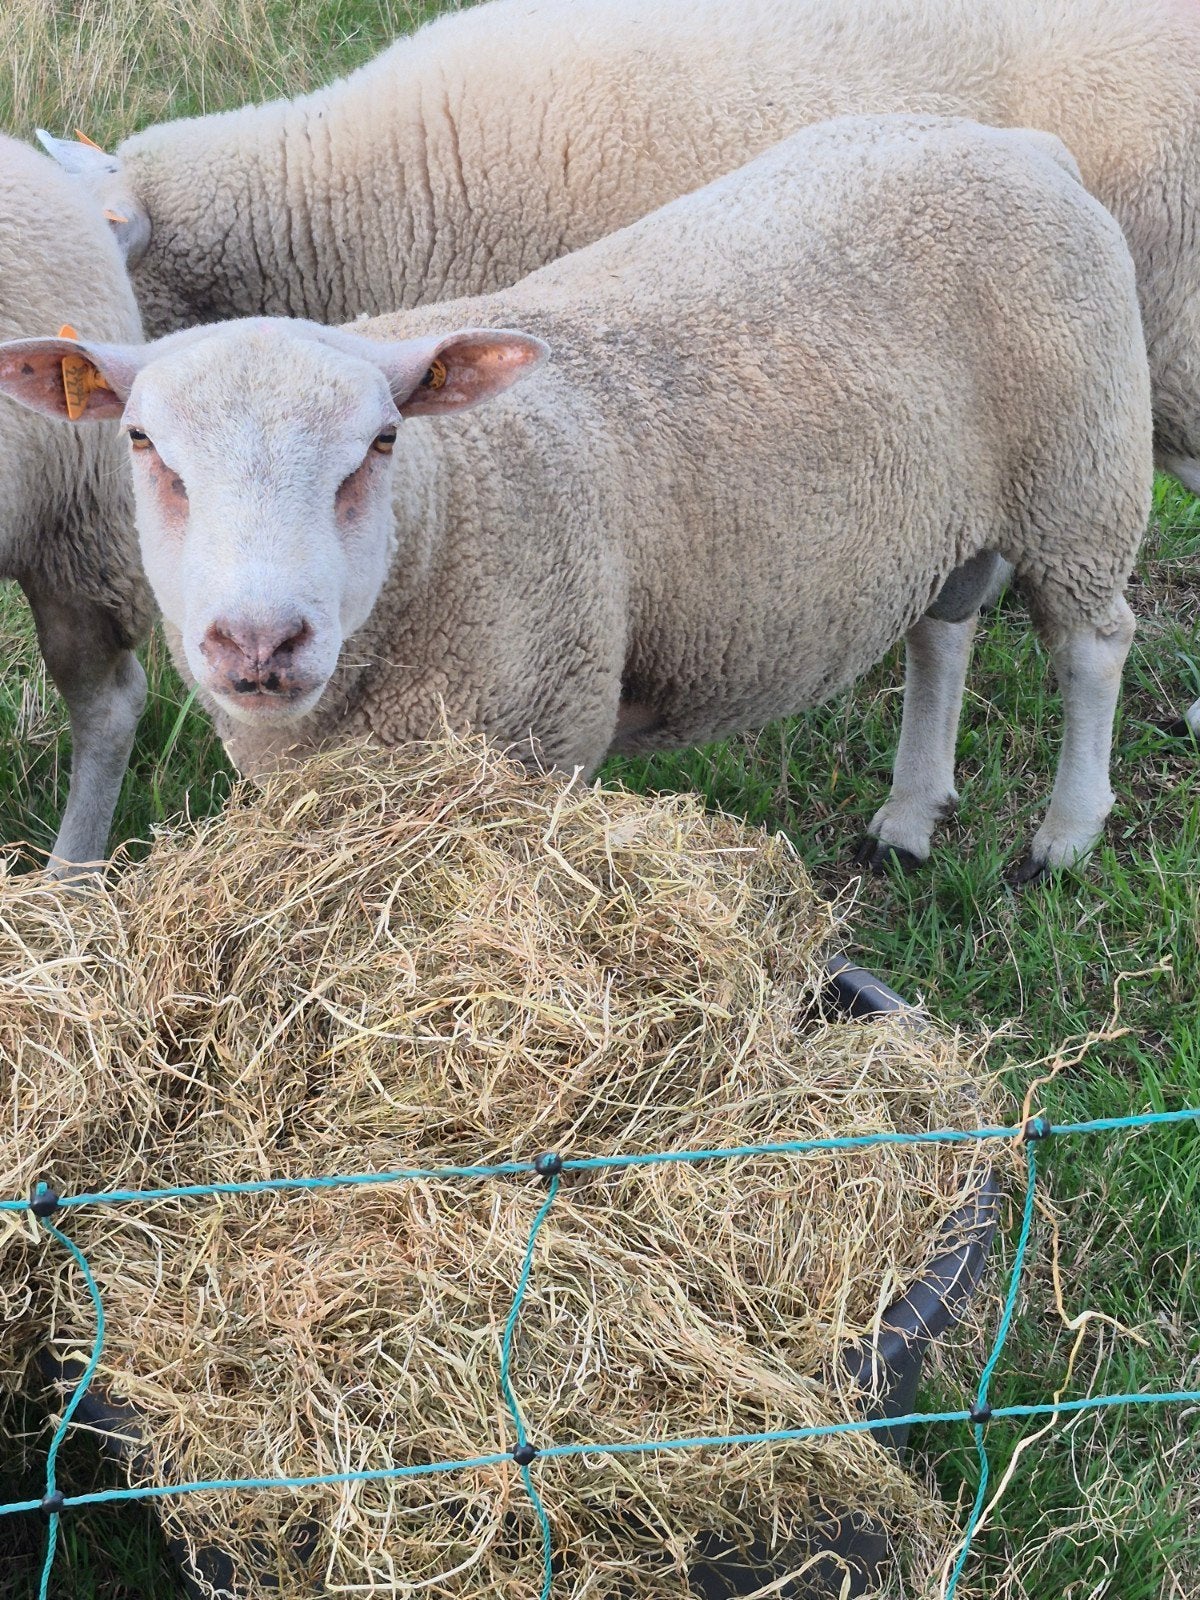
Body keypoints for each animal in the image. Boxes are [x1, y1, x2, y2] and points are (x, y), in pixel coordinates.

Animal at [1, 117, 1153, 878]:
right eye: (143, 444)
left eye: (379, 443)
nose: (258, 642)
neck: (450, 510)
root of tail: (1017, 142)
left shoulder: (546, 732)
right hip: (958, 498)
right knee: (942, 630)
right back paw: (910, 817)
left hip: (1082, 476)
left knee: (1092, 646)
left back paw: (1064, 836)